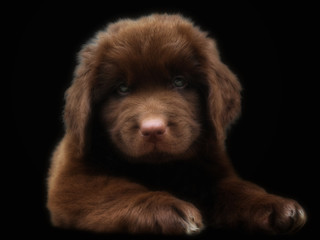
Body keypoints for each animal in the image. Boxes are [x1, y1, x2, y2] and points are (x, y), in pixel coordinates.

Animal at [46, 13, 306, 234]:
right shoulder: (71, 181)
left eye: (179, 82)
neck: (160, 168)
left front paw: (273, 204)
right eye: (121, 88)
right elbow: (119, 190)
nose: (152, 129)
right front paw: (164, 209)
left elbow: (235, 188)